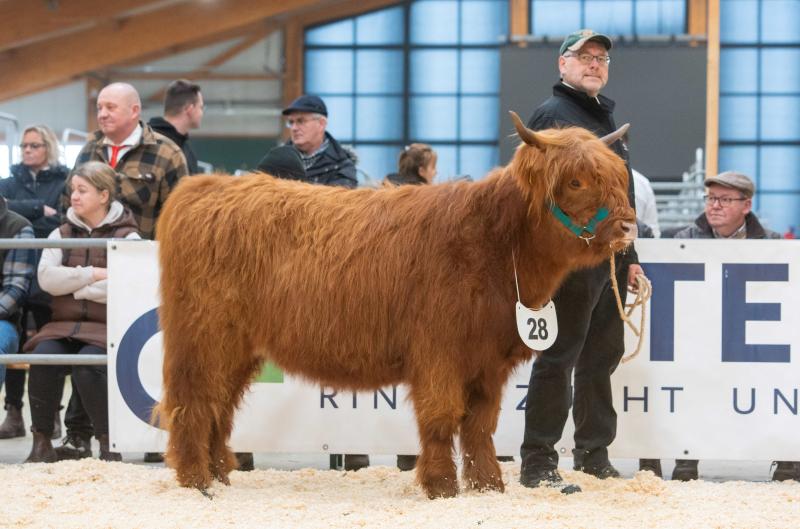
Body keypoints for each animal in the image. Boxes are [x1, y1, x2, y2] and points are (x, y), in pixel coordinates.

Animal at [154, 112, 636, 499]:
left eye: (617, 178)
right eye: (576, 181)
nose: (628, 227)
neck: (495, 245)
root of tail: (204, 185)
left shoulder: (488, 360)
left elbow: (480, 425)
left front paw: (487, 486)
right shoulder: (439, 352)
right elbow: (442, 418)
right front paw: (442, 486)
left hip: (238, 347)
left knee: (220, 405)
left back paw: (220, 474)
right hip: (203, 336)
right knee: (193, 401)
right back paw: (195, 480)